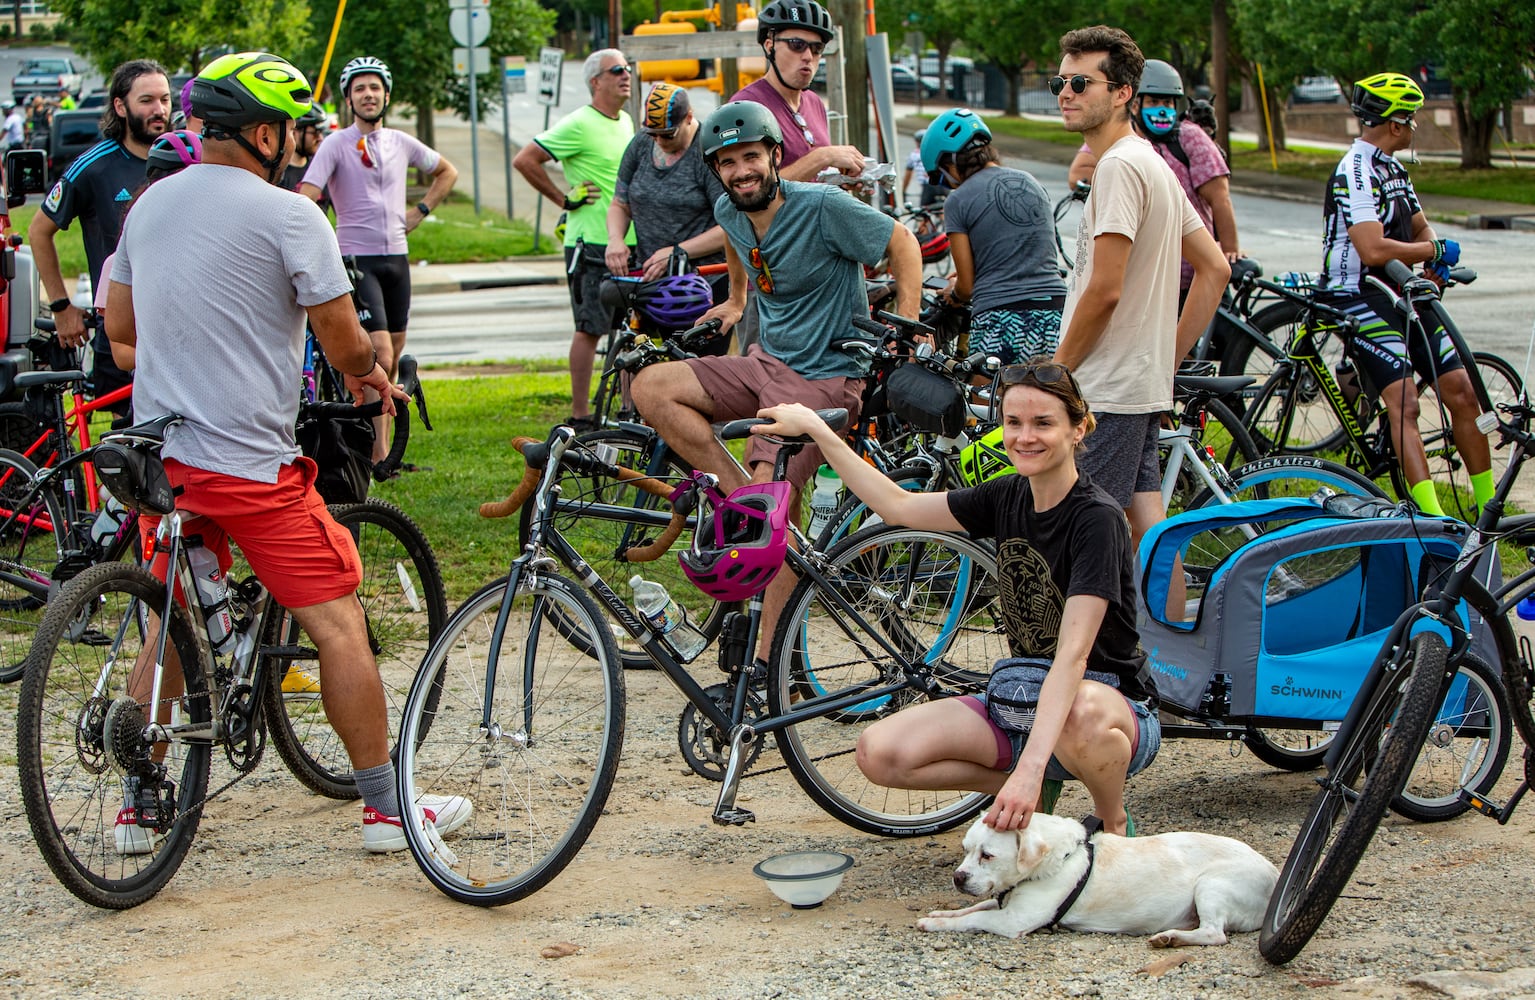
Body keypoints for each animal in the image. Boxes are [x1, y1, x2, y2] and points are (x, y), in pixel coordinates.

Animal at [914, 811, 1277, 946]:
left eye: (987, 855)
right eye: (965, 849)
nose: (958, 877)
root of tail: (1275, 875)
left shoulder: (1013, 921)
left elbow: (975, 919)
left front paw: (935, 924)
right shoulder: (1006, 902)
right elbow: (973, 909)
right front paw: (943, 912)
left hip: (1211, 886)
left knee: (1216, 934)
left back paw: (1170, 937)